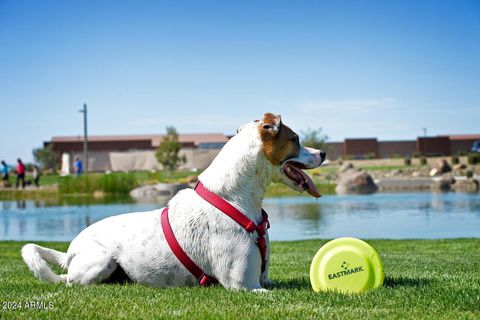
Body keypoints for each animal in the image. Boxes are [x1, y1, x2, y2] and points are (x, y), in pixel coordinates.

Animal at [20, 114, 324, 292]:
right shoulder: (245, 286)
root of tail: (70, 249)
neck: (233, 200)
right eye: (296, 139)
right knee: (68, 280)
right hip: (99, 260)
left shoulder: (264, 279)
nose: (322, 152)